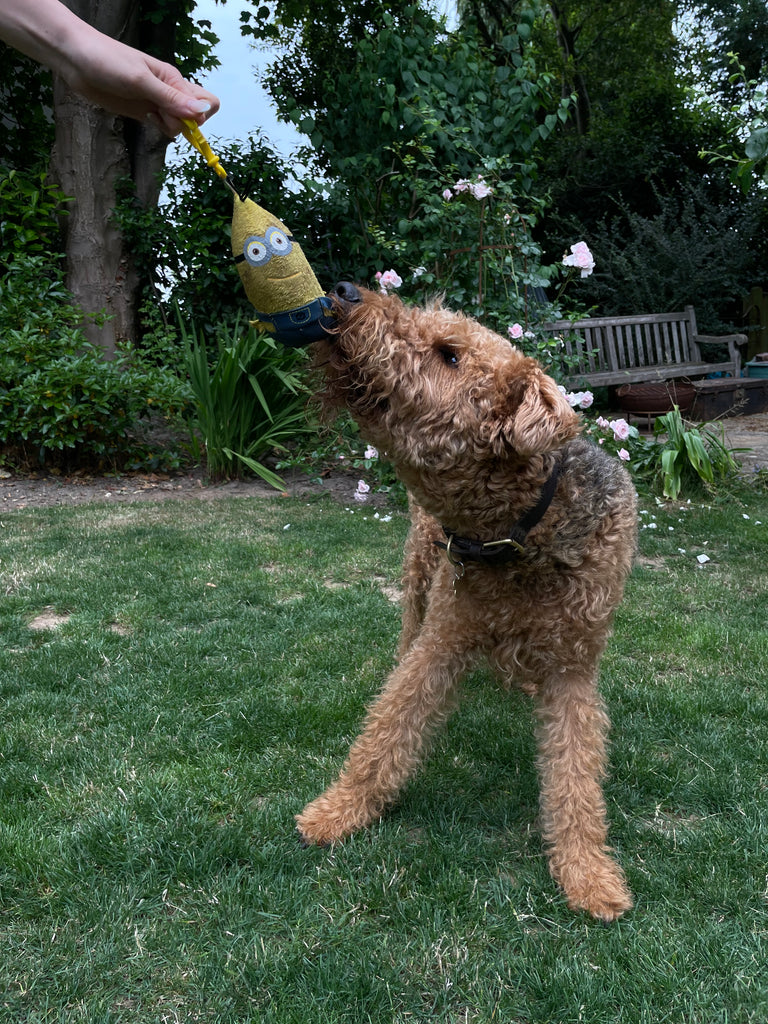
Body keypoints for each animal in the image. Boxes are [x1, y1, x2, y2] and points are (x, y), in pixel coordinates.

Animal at [296, 286, 638, 921]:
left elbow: (576, 778)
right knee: (403, 643)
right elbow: (387, 730)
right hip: (418, 580)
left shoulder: (574, 670)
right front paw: (337, 811)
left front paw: (589, 876)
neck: (522, 534)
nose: (348, 293)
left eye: (449, 355)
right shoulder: (444, 639)